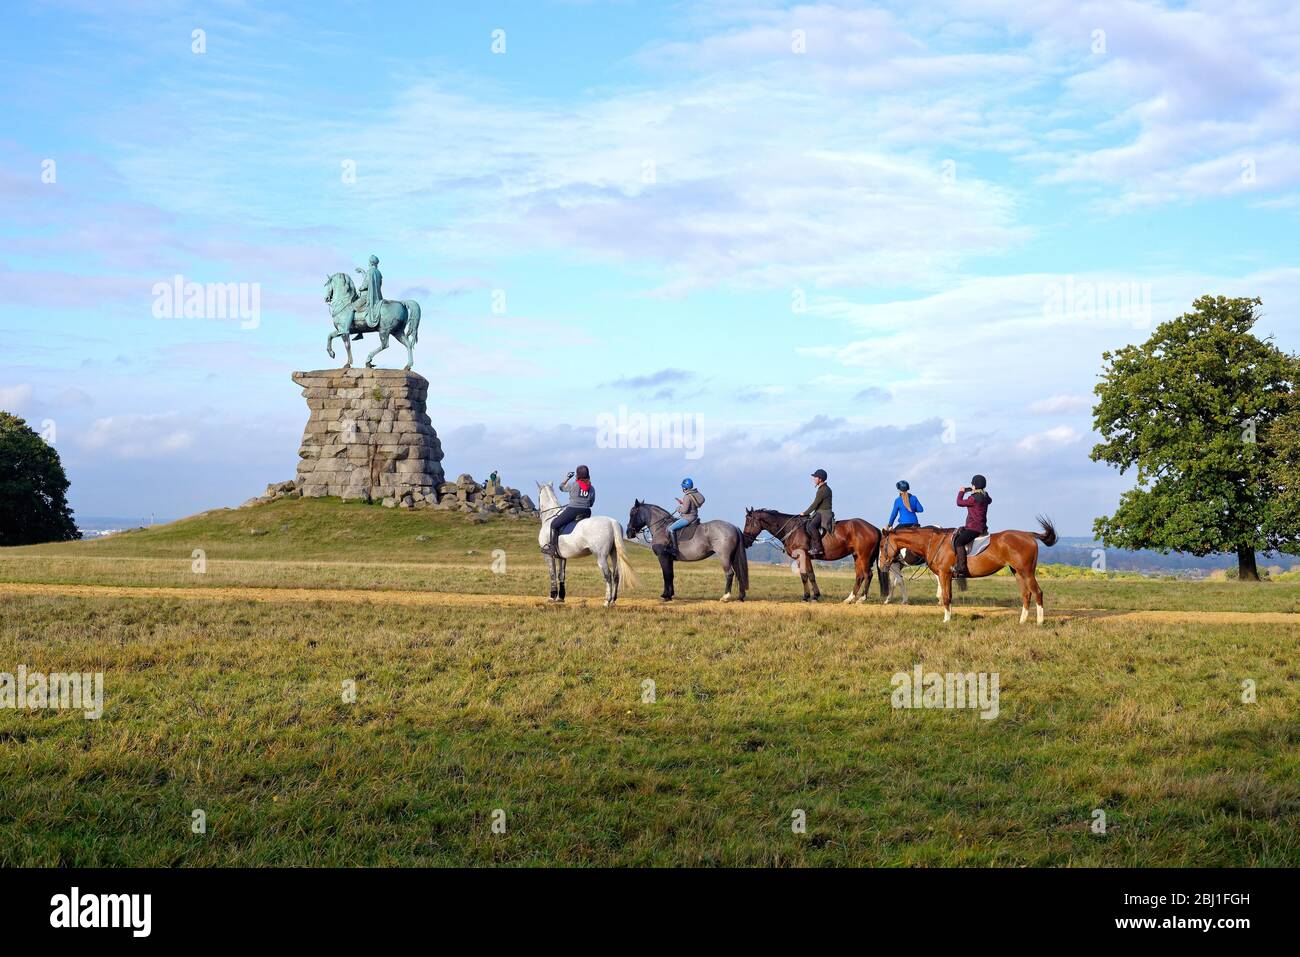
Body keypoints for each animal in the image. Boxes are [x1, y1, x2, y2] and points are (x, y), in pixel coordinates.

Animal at [743, 504, 883, 600]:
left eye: (748, 521)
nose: (745, 541)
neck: (792, 529)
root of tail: (874, 528)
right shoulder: (805, 558)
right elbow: (807, 575)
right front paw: (811, 595)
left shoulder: (803, 556)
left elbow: (808, 575)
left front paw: (810, 596)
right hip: (856, 556)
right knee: (860, 576)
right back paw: (849, 599)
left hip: (864, 556)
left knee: (868, 574)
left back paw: (862, 598)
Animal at [873, 520, 1055, 624]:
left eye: (882, 545)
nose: (881, 565)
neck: (934, 541)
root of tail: (1029, 535)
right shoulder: (947, 576)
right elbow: (949, 596)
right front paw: (949, 616)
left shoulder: (944, 575)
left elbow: (946, 597)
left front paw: (946, 620)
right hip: (1017, 572)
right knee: (1026, 594)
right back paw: (1022, 620)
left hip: (1026, 572)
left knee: (1037, 592)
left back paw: (1039, 621)